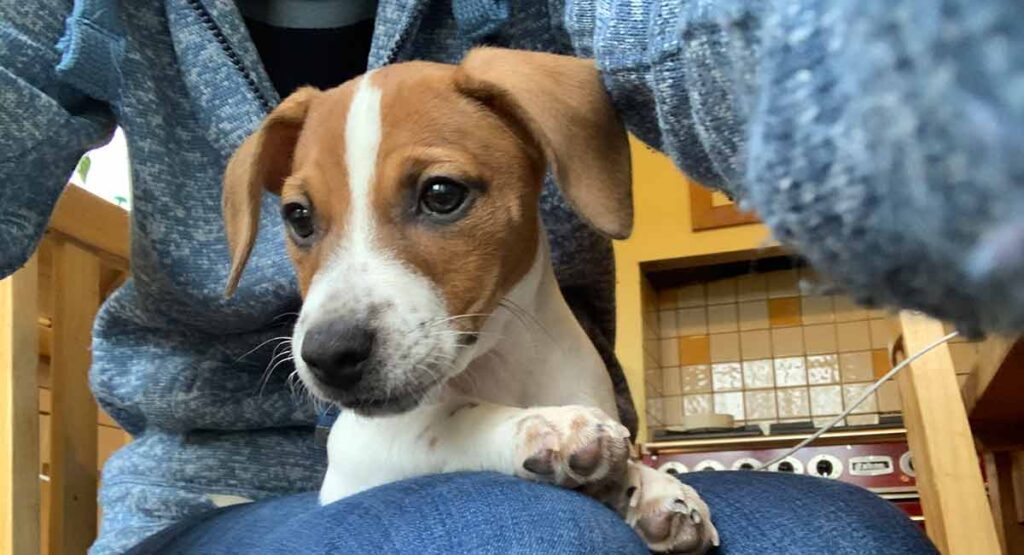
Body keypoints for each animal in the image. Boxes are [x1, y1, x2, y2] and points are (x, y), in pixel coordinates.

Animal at [224, 48, 720, 555]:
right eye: (298, 217)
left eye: (442, 194)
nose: (328, 356)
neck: (497, 360)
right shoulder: (355, 447)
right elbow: (443, 421)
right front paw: (544, 427)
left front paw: (651, 488)